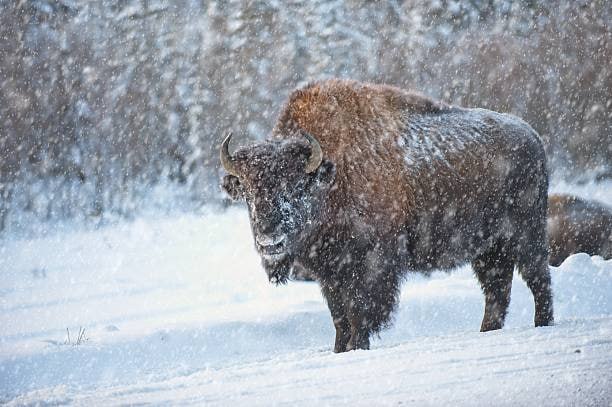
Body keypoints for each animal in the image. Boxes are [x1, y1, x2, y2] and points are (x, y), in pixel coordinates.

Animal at [221, 79, 556, 354]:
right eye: (248, 192)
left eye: (297, 186)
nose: (270, 241)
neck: (332, 175)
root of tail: (533, 136)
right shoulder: (330, 274)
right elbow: (339, 316)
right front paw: (340, 349)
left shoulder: (370, 265)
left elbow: (359, 312)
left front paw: (357, 346)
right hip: (487, 249)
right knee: (497, 289)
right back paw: (488, 331)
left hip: (525, 236)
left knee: (537, 278)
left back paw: (543, 323)